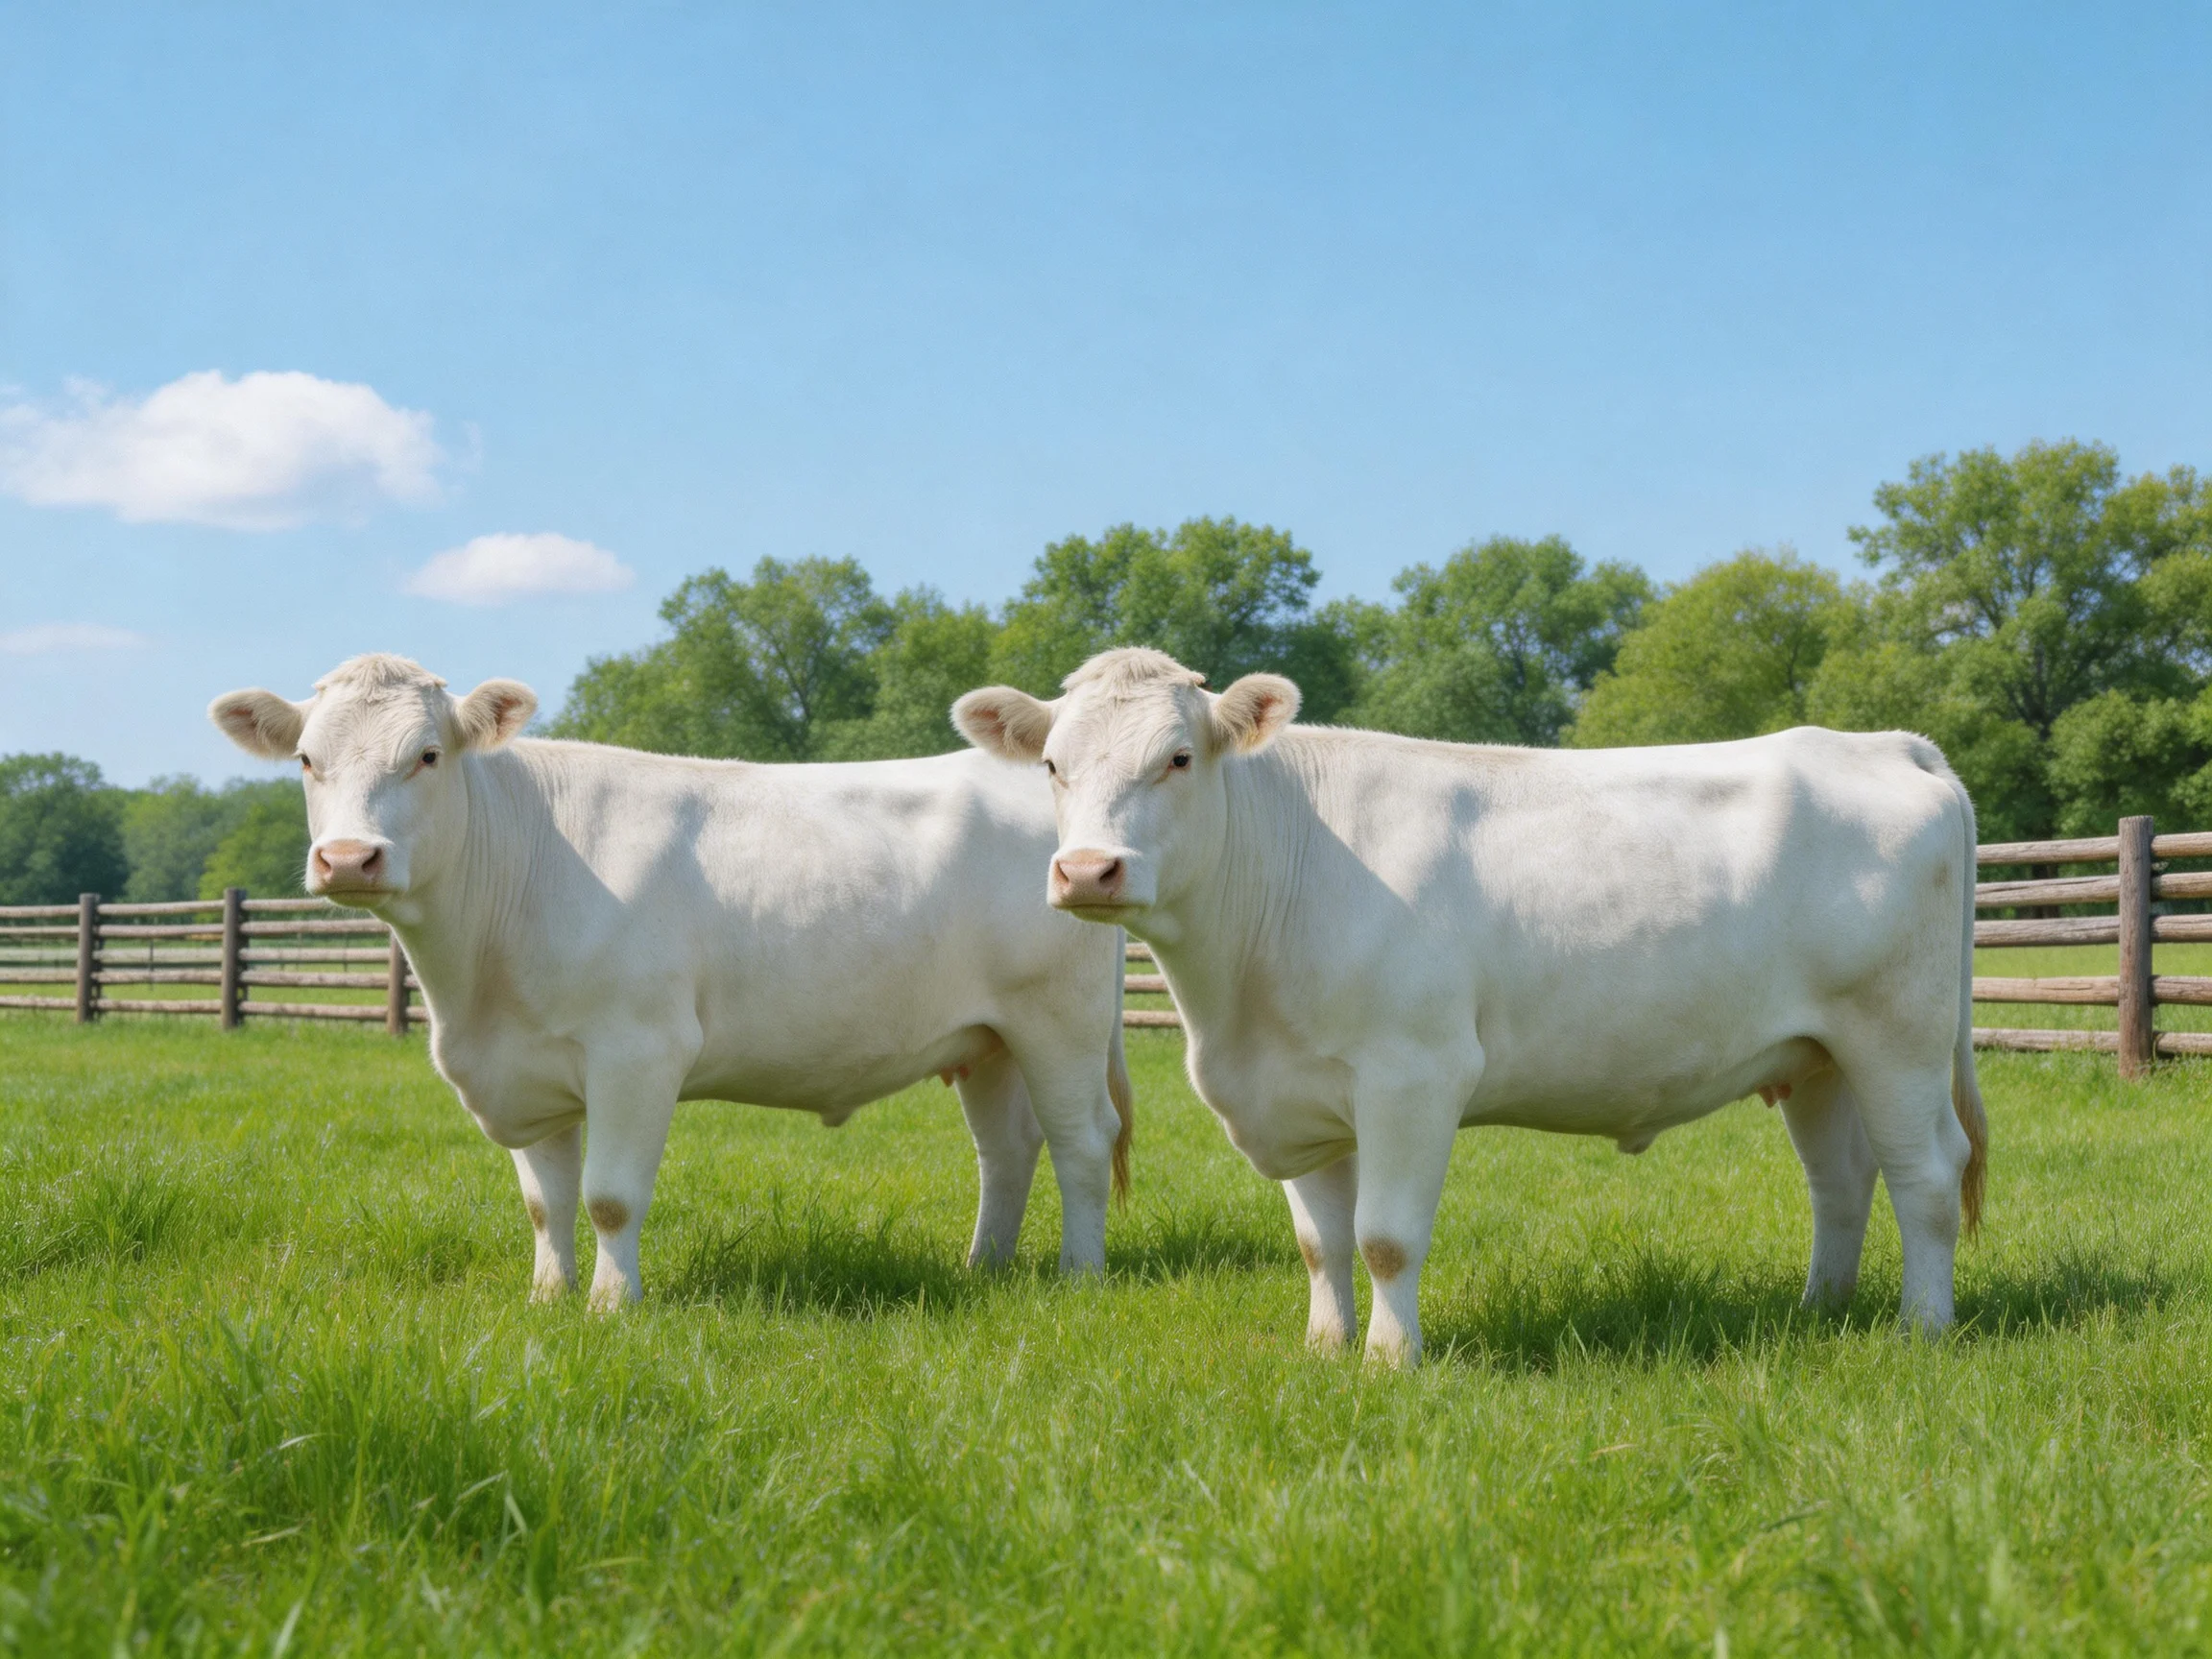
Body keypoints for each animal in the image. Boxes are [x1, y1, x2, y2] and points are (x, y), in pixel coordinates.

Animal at [209, 653, 1132, 1310]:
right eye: (306, 759)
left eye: (428, 756)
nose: (347, 858)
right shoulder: (527, 1069)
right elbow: (546, 1203)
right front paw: (547, 1299)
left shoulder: (638, 1050)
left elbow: (610, 1197)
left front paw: (612, 1307)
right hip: (989, 1039)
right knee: (1006, 1150)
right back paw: (983, 1271)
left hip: (1061, 1022)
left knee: (1084, 1142)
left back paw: (1079, 1276)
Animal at [952, 647, 1988, 1366]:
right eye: (1051, 765)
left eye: (1176, 758)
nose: (1089, 870)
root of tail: (1884, 744)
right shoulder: (1292, 1095)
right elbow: (1319, 1242)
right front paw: (1324, 1350)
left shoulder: (1414, 1075)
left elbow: (1384, 1238)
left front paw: (1388, 1360)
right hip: (1818, 1053)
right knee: (1843, 1179)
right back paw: (1821, 1312)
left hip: (1899, 1035)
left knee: (1929, 1174)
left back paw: (1921, 1329)